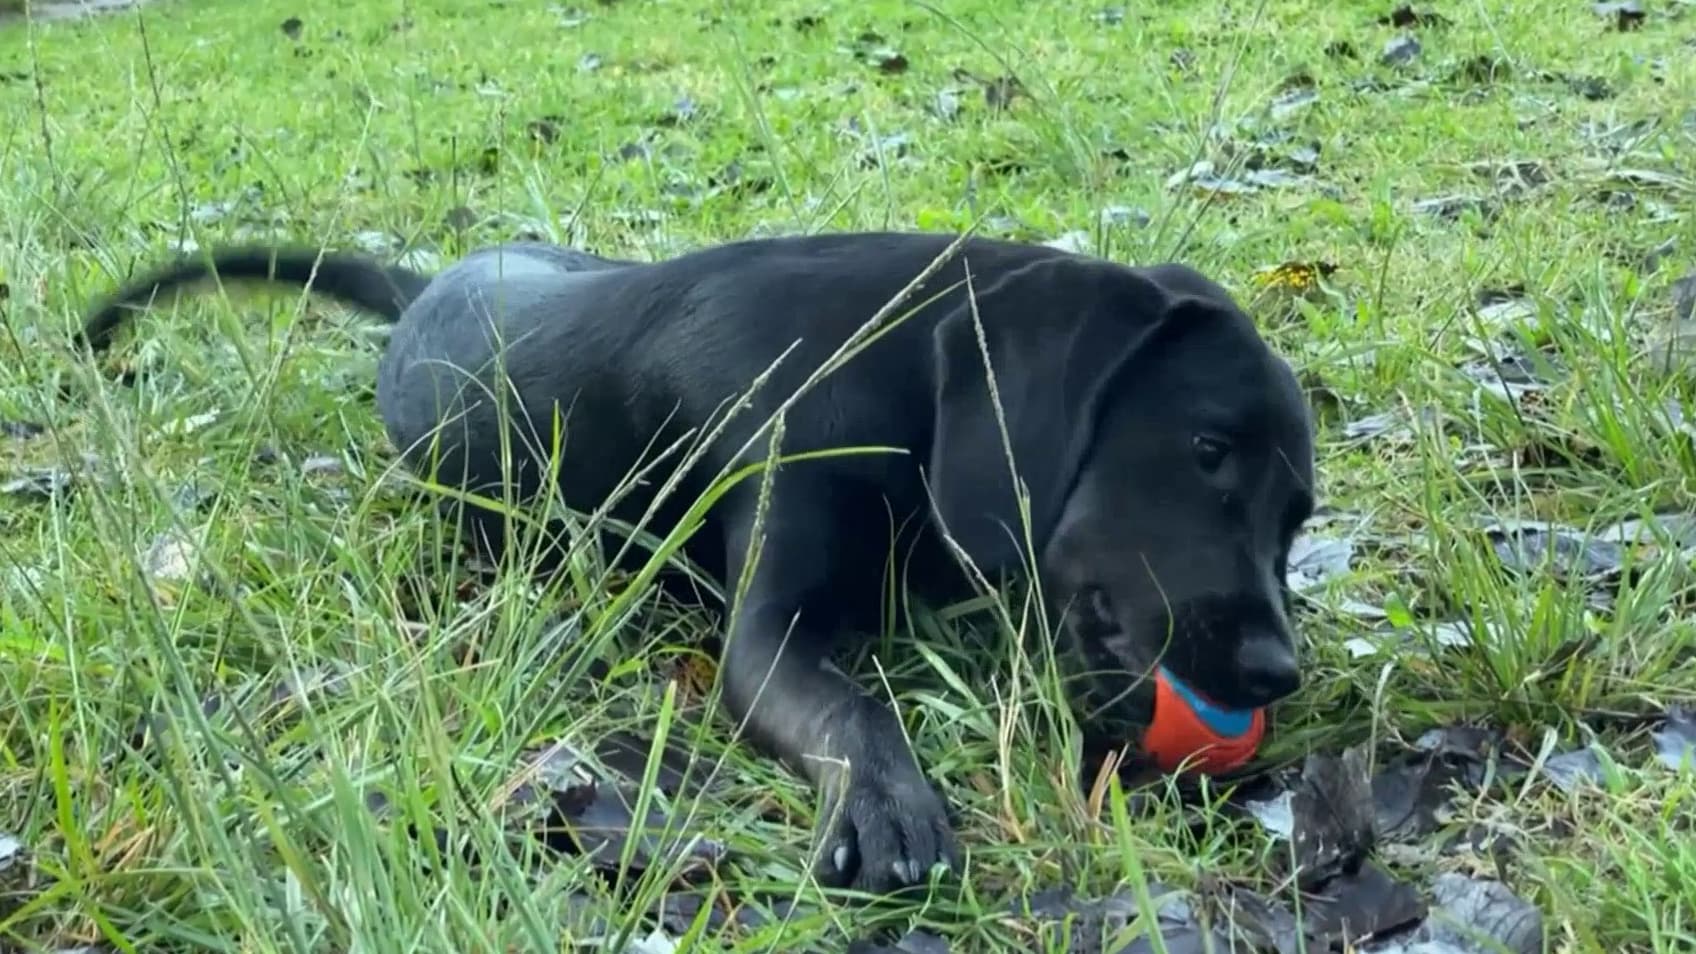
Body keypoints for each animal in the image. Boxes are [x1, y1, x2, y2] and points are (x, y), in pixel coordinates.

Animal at [79, 230, 1316, 889]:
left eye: (1298, 517)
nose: (1278, 674)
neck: (899, 375)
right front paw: (891, 803)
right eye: (1207, 451)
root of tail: (427, 283)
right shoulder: (769, 630)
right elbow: (855, 708)